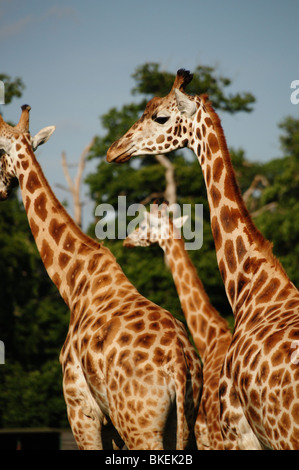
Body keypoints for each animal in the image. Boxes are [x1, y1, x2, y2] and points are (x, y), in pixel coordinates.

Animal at [0, 104, 203, 450]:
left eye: (0, 153)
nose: (0, 186)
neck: (73, 281)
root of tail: (180, 364)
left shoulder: (81, 409)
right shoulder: (109, 423)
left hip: (140, 426)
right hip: (185, 424)